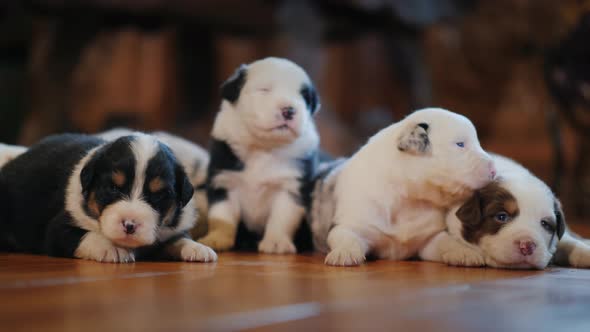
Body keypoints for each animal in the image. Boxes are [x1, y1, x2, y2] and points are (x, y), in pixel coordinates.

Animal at [0, 132, 219, 262]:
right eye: (113, 188)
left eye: (159, 195)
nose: (130, 225)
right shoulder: (57, 229)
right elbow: (85, 235)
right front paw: (111, 248)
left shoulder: (170, 229)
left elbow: (178, 238)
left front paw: (198, 248)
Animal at [199, 57, 322, 254]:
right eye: (264, 89)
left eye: (304, 97)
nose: (289, 110)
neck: (263, 148)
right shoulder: (223, 180)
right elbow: (222, 214)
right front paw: (217, 238)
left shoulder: (291, 187)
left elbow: (282, 218)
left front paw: (276, 242)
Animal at [312, 107, 498, 266]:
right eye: (460, 144)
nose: (494, 170)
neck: (408, 199)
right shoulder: (350, 224)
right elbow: (345, 237)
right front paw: (344, 253)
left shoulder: (429, 238)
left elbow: (446, 241)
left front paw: (465, 252)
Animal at [420, 156, 590, 270]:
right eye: (501, 216)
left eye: (545, 224)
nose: (527, 245)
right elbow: (440, 239)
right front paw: (464, 253)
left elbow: (567, 241)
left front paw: (585, 252)